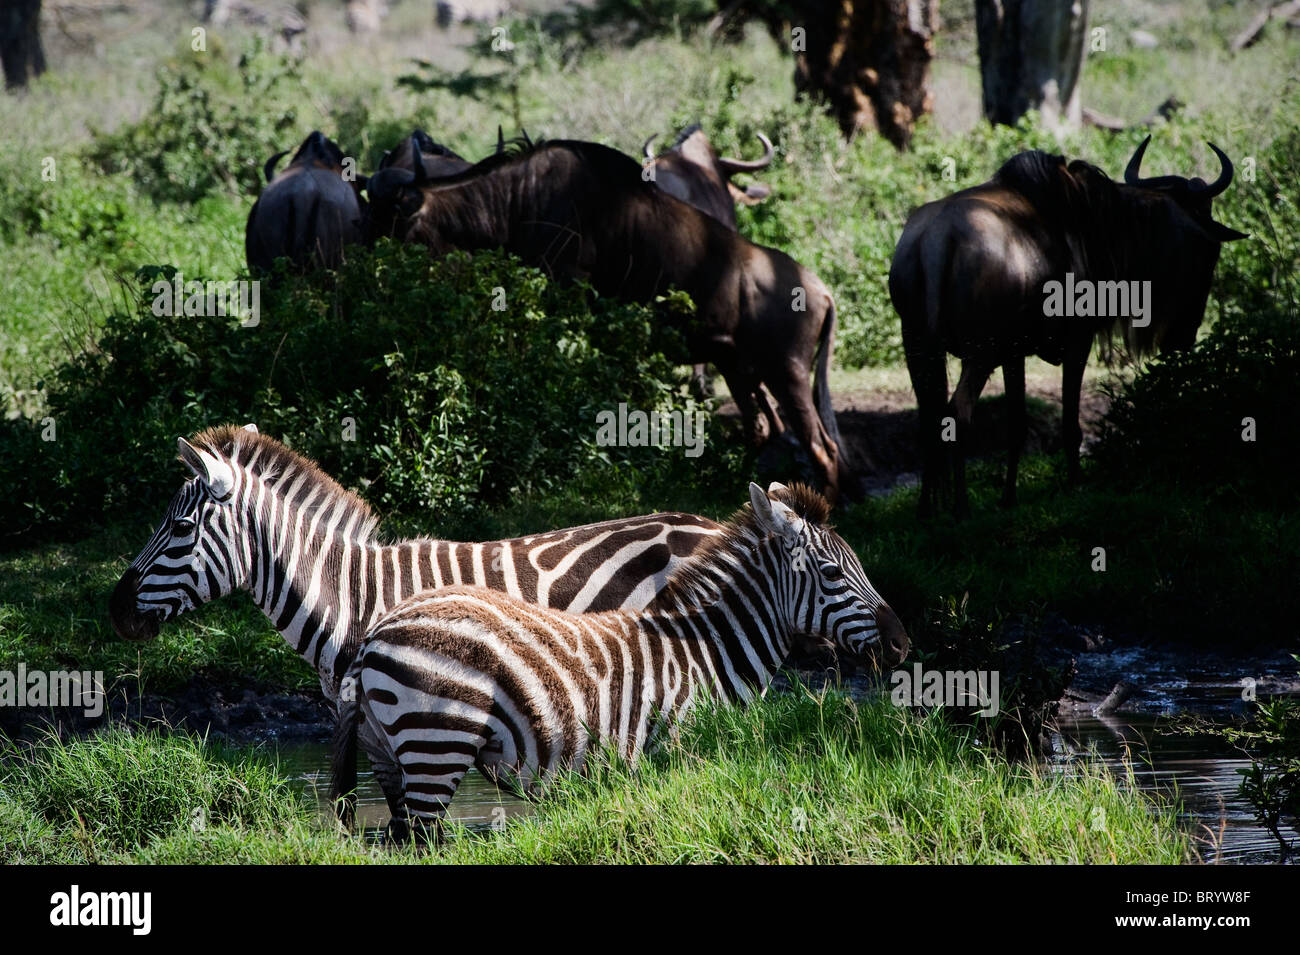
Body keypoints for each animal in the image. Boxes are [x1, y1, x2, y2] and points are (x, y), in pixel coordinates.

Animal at [330, 480, 909, 841]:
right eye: (832, 573)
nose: (903, 643)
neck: (707, 649)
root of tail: (377, 632)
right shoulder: (683, 753)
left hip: (391, 752)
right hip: (437, 742)